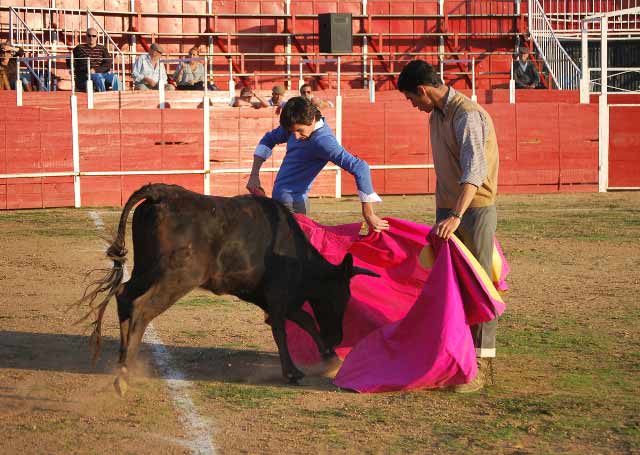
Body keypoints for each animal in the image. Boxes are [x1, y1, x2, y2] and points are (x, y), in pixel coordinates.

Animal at [75, 183, 378, 398]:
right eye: (342, 296)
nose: (338, 337)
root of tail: (159, 193)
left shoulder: (271, 297)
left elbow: (303, 320)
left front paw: (330, 358)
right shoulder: (279, 294)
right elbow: (282, 329)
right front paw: (293, 372)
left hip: (147, 269)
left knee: (124, 295)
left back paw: (123, 361)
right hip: (178, 276)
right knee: (141, 306)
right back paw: (125, 375)